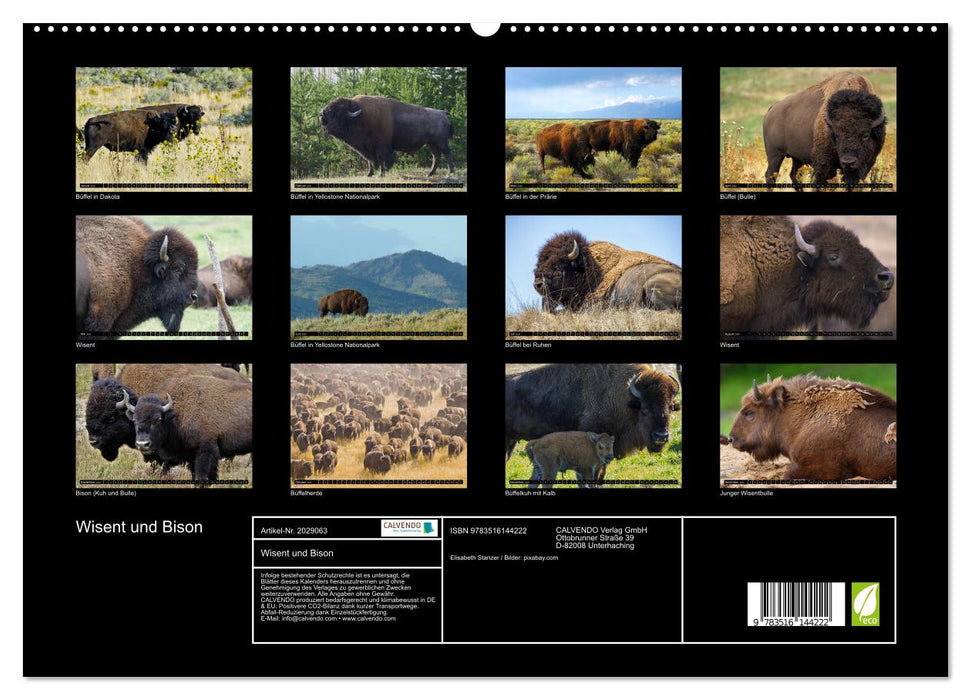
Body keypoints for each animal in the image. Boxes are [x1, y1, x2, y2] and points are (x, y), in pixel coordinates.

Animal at [319, 95, 456, 177]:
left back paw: (450, 172)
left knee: (447, 154)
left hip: (441, 143)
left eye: (337, 112)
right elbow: (370, 161)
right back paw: (430, 173)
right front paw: (369, 174)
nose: (322, 114)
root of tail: (443, 113)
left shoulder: (381, 147)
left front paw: (381, 173)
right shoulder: (366, 149)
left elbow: (381, 160)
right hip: (432, 144)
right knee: (436, 156)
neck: (360, 117)